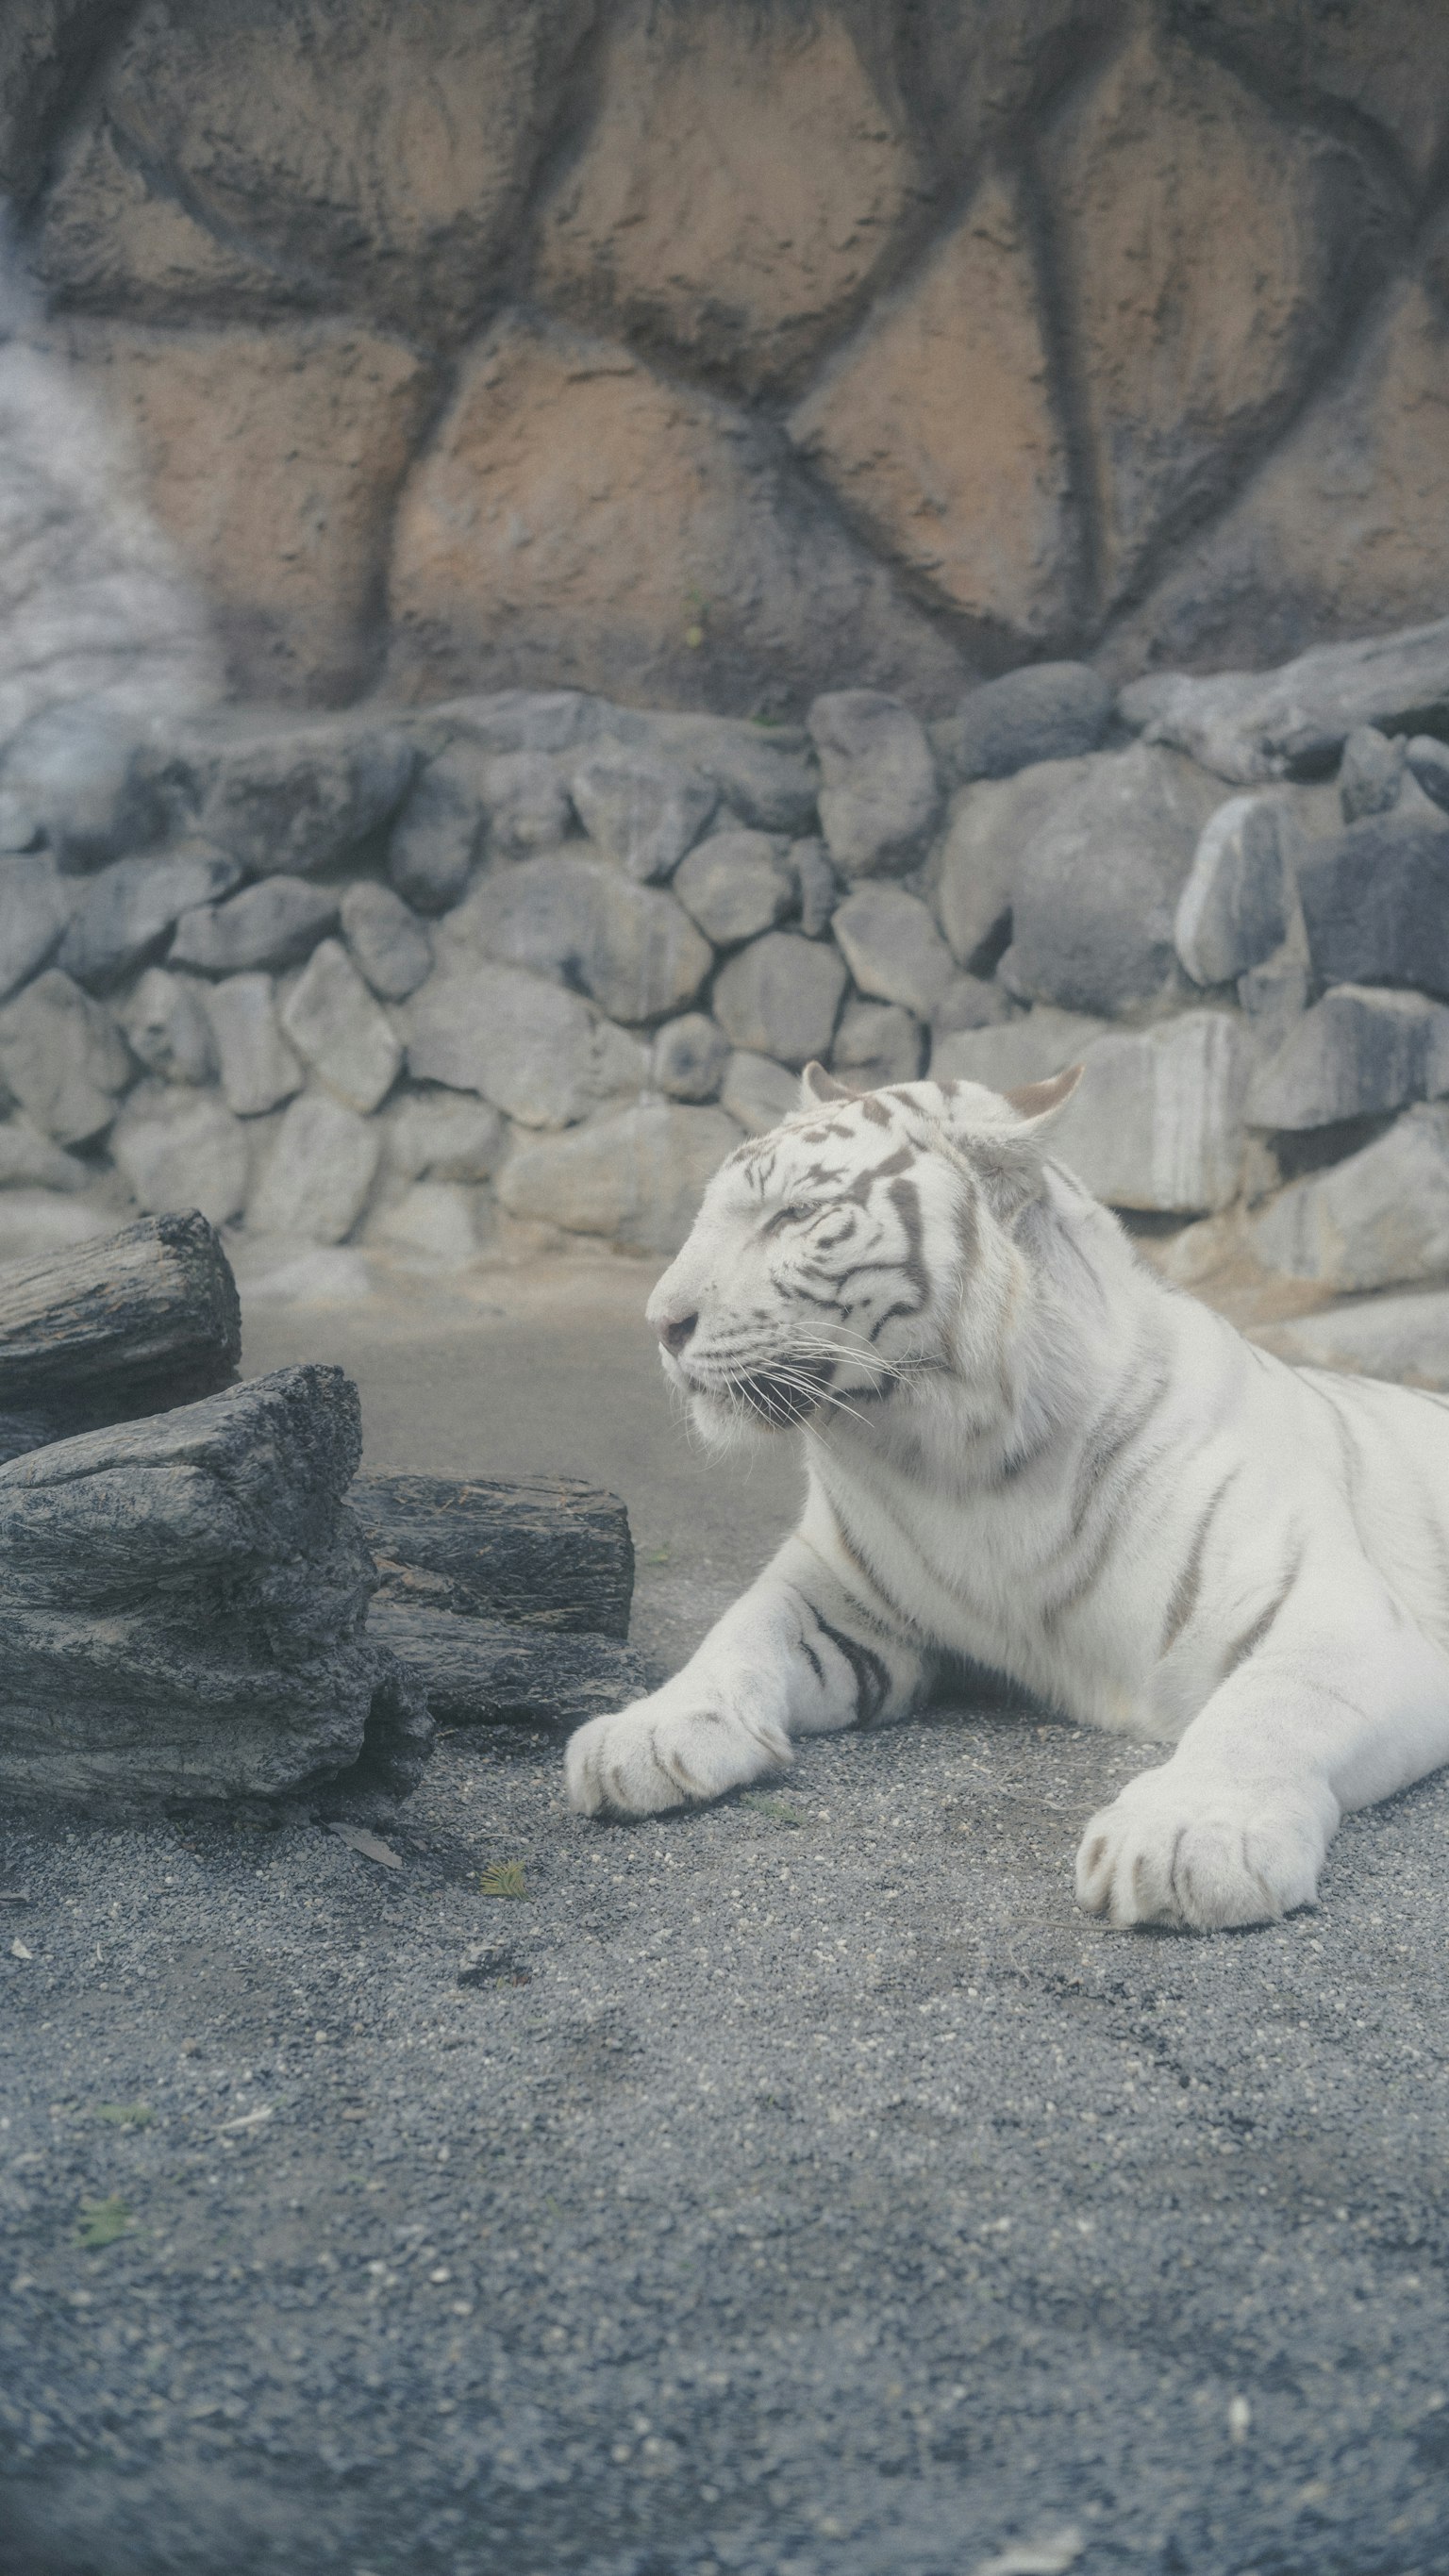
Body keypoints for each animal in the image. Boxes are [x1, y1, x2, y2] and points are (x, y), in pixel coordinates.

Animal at [564, 1060, 1449, 1930]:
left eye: (797, 1214)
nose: (660, 1323)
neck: (964, 1469)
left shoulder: (1344, 1615)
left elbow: (1272, 1702)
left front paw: (1190, 1833)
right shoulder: (840, 1591)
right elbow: (740, 1627)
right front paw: (648, 1734)